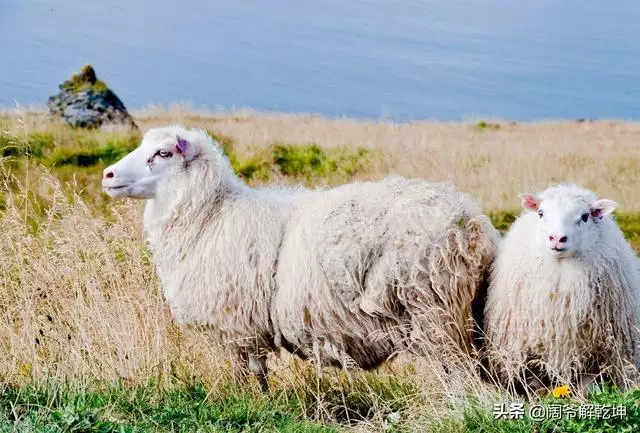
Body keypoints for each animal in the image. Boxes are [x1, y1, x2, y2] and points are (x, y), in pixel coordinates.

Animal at [484, 184, 640, 394]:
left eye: (585, 216)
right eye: (541, 213)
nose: (557, 238)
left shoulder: (595, 352)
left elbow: (587, 386)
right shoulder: (528, 352)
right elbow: (535, 385)